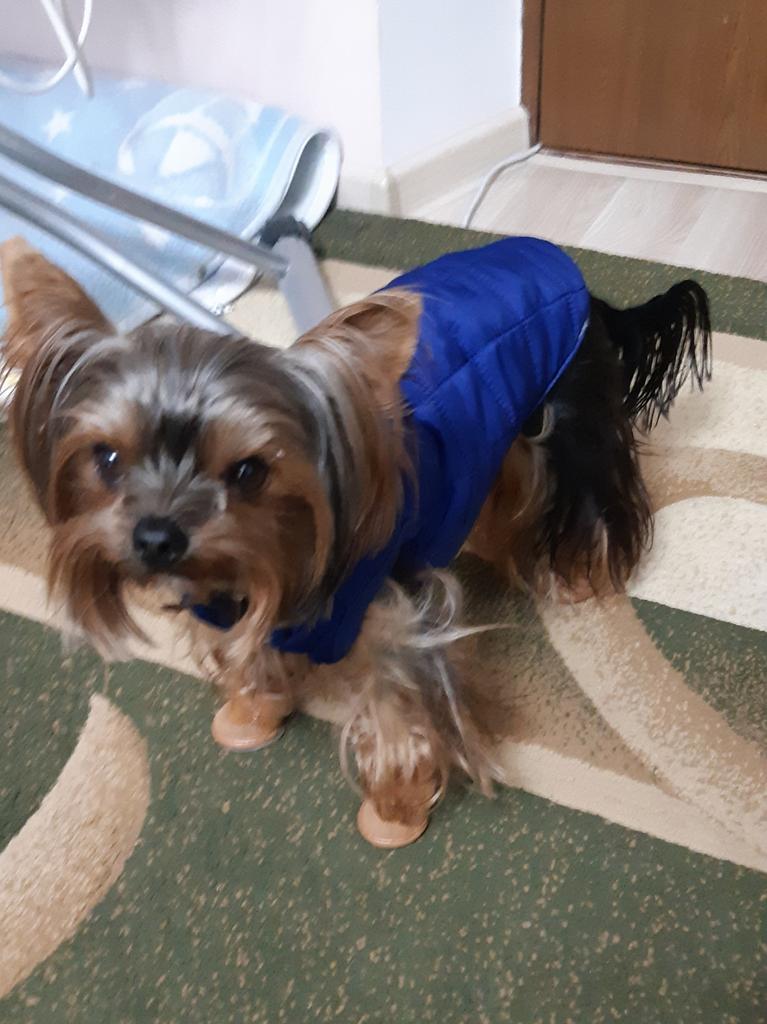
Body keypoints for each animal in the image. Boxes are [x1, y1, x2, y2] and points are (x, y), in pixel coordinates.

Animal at [1, 235, 711, 847]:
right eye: (107, 459)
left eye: (249, 472)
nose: (155, 537)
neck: (277, 562)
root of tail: (584, 288)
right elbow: (250, 655)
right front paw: (252, 711)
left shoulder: (396, 612)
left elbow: (396, 704)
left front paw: (394, 806)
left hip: (569, 417)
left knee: (592, 496)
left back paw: (578, 573)